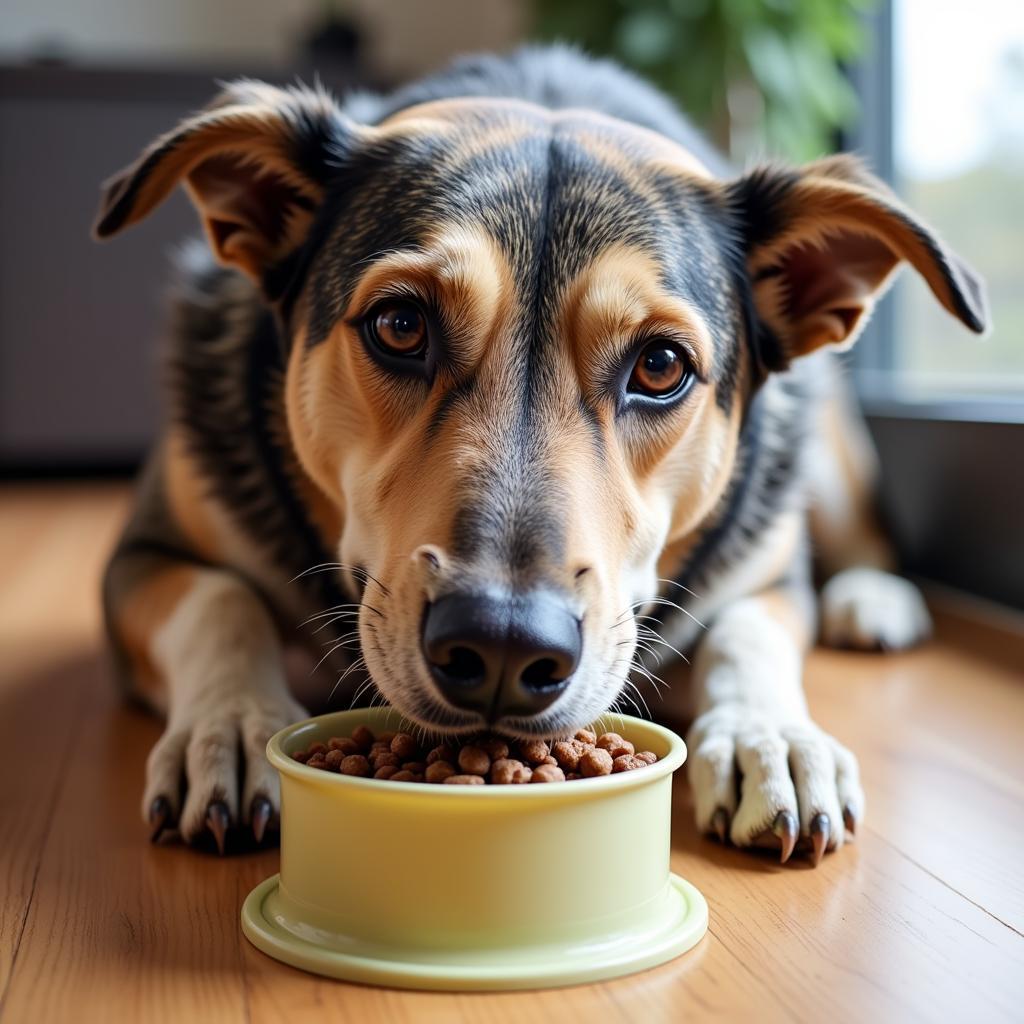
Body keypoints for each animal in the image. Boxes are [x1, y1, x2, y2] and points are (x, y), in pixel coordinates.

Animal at [94, 48, 983, 864]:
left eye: (660, 366)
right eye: (400, 326)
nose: (502, 647)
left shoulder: (766, 572)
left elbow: (750, 632)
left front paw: (771, 739)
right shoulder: (142, 555)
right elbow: (219, 602)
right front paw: (234, 726)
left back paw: (872, 600)